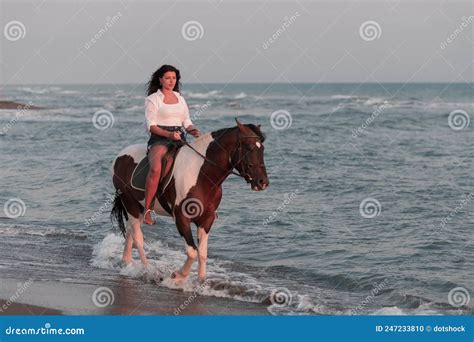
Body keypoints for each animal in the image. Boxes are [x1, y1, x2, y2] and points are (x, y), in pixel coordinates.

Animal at [109, 119, 268, 282]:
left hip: (138, 208)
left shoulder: (206, 219)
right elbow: (192, 251)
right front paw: (178, 276)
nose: (262, 182)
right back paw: (149, 270)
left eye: (262, 149)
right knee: (138, 237)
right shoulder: (181, 218)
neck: (201, 175)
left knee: (130, 231)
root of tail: (120, 156)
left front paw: (201, 281)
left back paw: (126, 262)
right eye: (249, 148)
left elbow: (202, 253)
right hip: (131, 204)